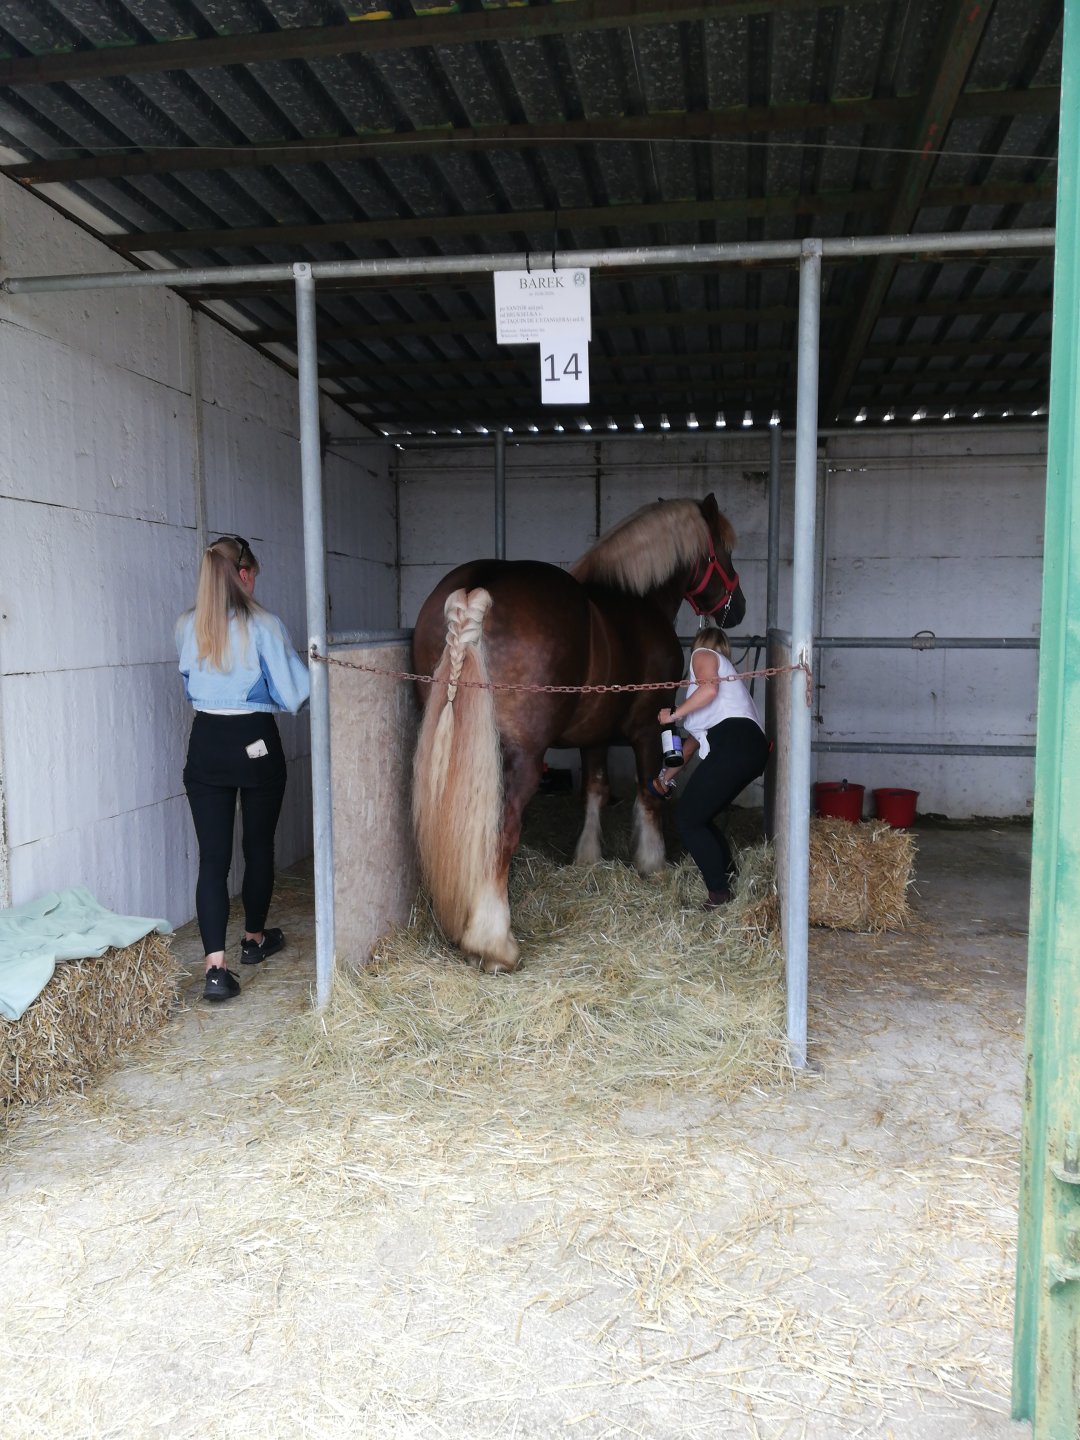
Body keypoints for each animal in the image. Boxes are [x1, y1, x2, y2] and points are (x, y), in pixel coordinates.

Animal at [411, 494, 747, 974]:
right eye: (724, 549)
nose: (736, 609)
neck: (638, 600)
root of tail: (478, 591)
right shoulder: (649, 727)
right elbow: (648, 794)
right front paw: (652, 864)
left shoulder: (594, 736)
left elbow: (594, 788)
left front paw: (587, 858)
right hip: (523, 760)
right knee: (502, 832)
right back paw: (495, 944)